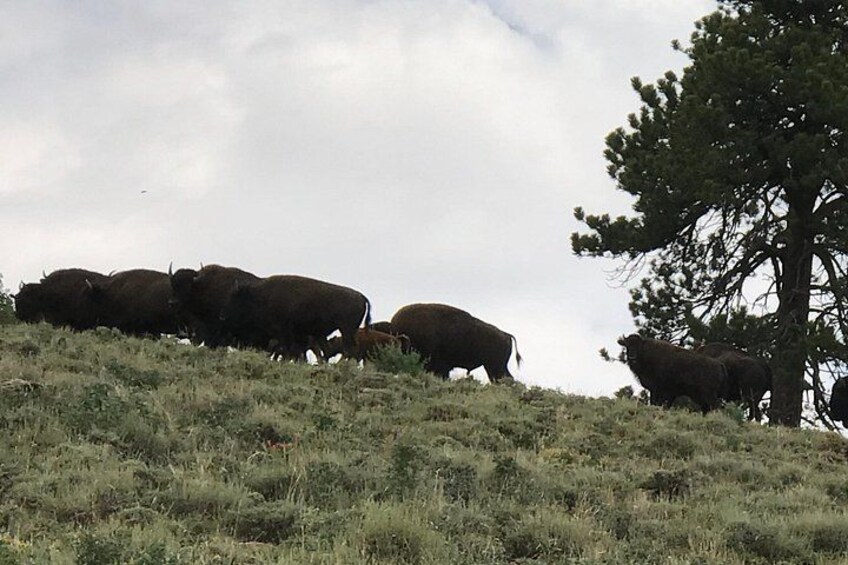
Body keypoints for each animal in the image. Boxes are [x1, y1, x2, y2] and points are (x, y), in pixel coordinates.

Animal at [220, 275, 371, 360]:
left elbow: (288, 349)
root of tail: (361, 296)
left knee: (350, 350)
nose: (223, 316)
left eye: (235, 298)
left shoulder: (284, 331)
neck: (261, 295)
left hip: (346, 330)